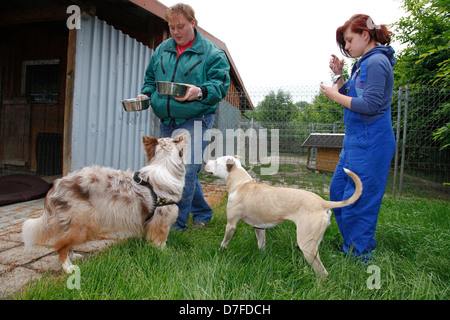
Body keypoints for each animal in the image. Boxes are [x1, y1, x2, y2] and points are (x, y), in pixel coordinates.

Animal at [22, 132, 188, 272]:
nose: (185, 134)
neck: (164, 164)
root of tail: (56, 184)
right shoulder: (160, 223)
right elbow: (161, 242)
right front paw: (165, 255)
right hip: (85, 223)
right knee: (60, 245)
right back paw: (68, 268)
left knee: (65, 241)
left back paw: (73, 256)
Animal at [204, 156, 362, 278]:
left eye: (216, 161)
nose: (205, 162)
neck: (240, 183)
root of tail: (322, 203)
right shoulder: (259, 227)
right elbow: (261, 244)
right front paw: (262, 256)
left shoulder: (231, 224)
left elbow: (224, 242)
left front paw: (221, 251)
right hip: (314, 241)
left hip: (307, 244)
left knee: (322, 273)